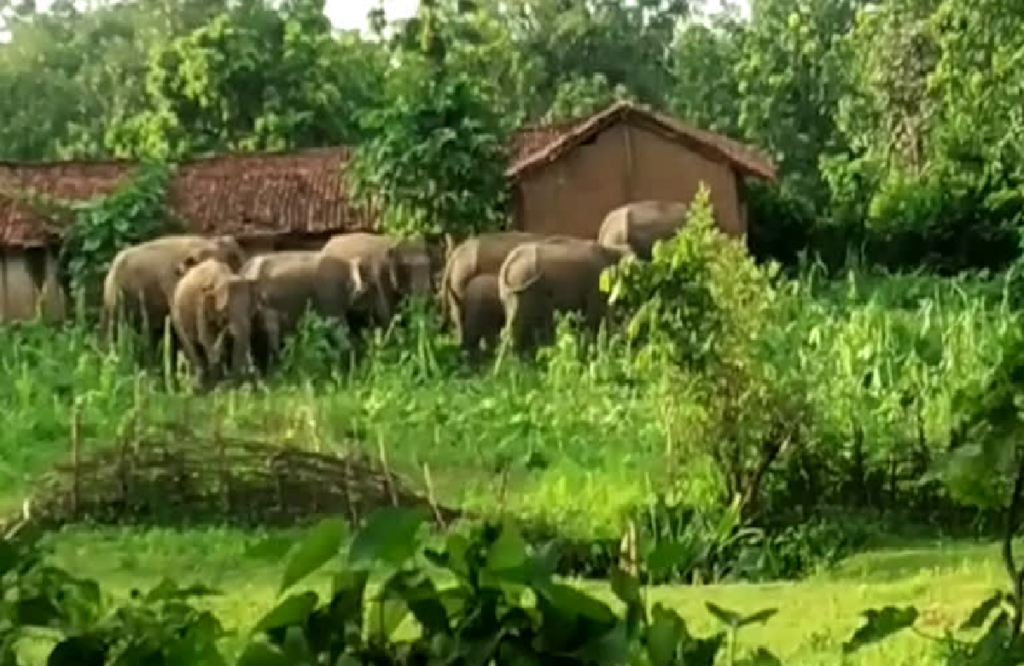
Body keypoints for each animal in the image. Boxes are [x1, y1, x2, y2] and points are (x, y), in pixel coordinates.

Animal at [498, 238, 633, 351]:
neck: (611, 250)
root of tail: (509, 260)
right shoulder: (596, 283)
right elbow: (597, 316)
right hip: (522, 286)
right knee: (517, 324)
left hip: (510, 294)